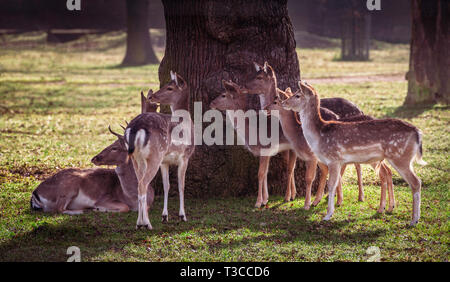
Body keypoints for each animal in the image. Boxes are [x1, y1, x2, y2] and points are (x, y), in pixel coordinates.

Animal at [126, 71, 195, 229]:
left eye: (169, 88)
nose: (151, 97)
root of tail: (136, 127)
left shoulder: (165, 161)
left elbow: (166, 186)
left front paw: (165, 216)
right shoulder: (185, 156)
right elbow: (181, 185)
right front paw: (182, 216)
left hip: (136, 158)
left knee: (139, 184)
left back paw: (139, 223)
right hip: (155, 155)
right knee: (143, 184)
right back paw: (146, 224)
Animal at [209, 79, 298, 207]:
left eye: (223, 95)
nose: (211, 103)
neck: (251, 132)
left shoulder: (264, 148)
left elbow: (260, 174)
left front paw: (258, 202)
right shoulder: (268, 151)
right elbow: (265, 173)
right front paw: (265, 200)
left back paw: (290, 197)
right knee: (292, 167)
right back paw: (293, 195)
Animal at [282, 81, 426, 225]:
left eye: (298, 95)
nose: (284, 102)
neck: (319, 135)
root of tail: (418, 132)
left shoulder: (334, 158)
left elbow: (331, 184)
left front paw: (328, 215)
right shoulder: (336, 161)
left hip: (400, 156)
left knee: (416, 182)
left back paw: (414, 220)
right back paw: (391, 210)